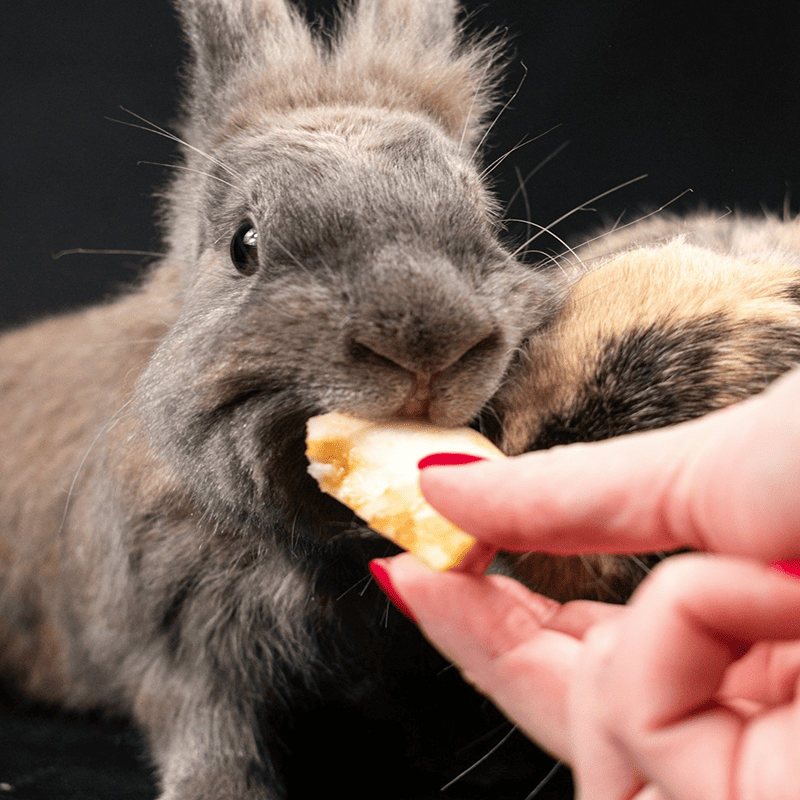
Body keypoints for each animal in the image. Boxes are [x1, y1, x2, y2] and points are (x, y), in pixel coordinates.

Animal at [0, 1, 565, 798]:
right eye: (246, 245)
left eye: (487, 225)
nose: (431, 341)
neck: (331, 541)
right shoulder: (179, 640)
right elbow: (206, 722)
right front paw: (217, 791)